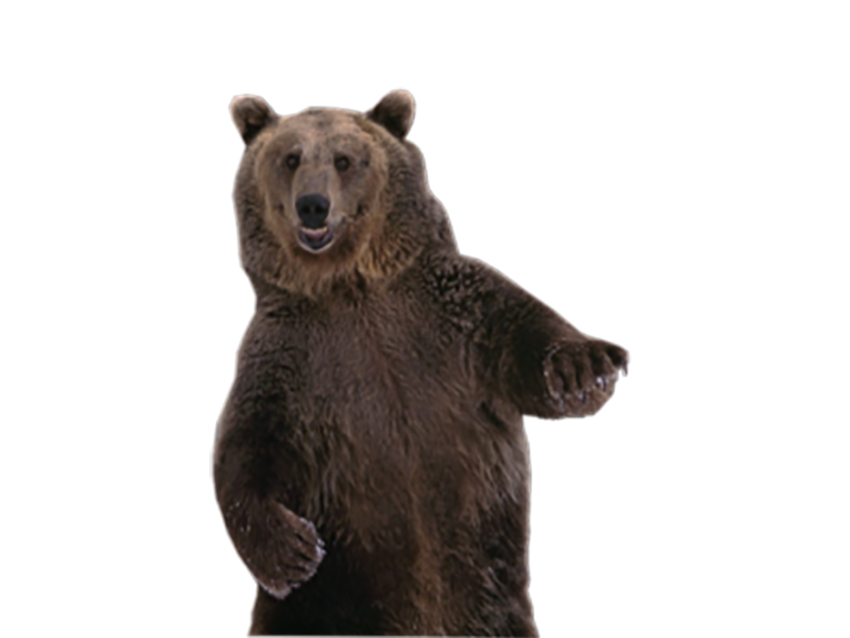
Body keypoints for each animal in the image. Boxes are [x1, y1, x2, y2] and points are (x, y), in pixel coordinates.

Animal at [212, 87, 631, 637]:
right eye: (290, 158)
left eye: (345, 160)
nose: (313, 206)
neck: (350, 286)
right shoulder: (286, 360)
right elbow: (244, 450)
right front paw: (296, 552)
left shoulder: (452, 316)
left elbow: (525, 334)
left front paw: (587, 368)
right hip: (313, 613)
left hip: (493, 603)